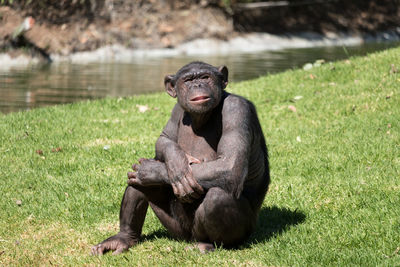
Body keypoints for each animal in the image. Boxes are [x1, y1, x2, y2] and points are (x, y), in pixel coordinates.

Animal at [92, 61, 270, 255]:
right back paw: (123, 238)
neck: (202, 117)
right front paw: (176, 163)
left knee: (219, 196)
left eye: (205, 77)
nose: (197, 85)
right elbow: (164, 139)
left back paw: (208, 244)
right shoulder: (177, 110)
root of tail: (189, 238)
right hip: (176, 229)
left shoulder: (236, 110)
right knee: (137, 183)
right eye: (188, 80)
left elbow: (229, 164)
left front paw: (151, 170)